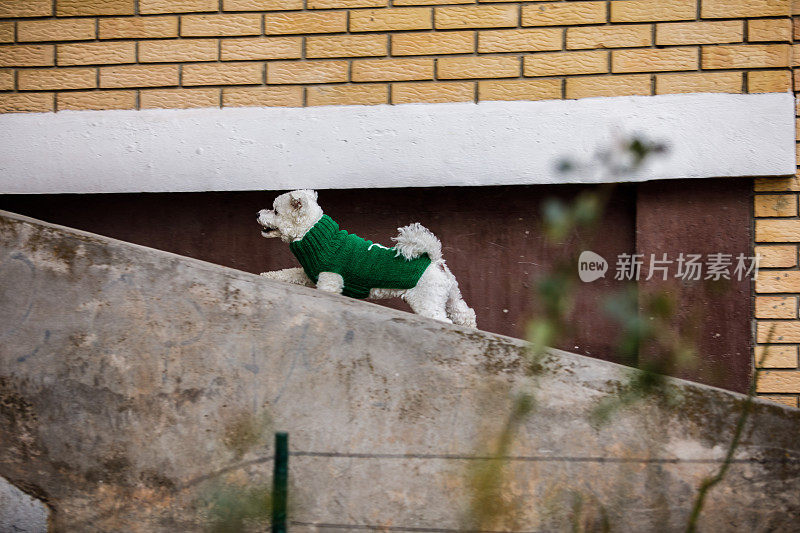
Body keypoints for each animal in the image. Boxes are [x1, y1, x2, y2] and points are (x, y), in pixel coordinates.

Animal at [260, 189, 478, 326]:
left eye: (276, 211)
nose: (257, 214)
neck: (313, 233)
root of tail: (434, 259)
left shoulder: (329, 280)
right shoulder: (307, 273)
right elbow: (284, 273)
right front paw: (265, 276)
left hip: (427, 301)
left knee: (444, 320)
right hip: (451, 297)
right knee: (466, 315)